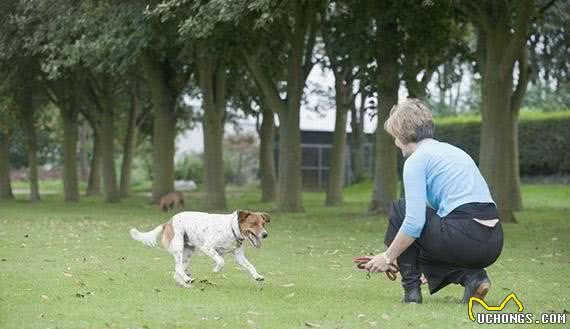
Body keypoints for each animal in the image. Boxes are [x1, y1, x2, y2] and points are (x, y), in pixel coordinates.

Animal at [130, 210, 270, 284]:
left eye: (263, 224)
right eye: (253, 223)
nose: (265, 234)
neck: (231, 229)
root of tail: (169, 221)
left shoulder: (239, 256)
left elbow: (250, 266)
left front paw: (257, 276)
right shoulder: (207, 247)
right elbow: (221, 260)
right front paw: (216, 269)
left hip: (188, 252)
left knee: (177, 271)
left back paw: (184, 281)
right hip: (179, 248)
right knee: (178, 268)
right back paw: (186, 279)